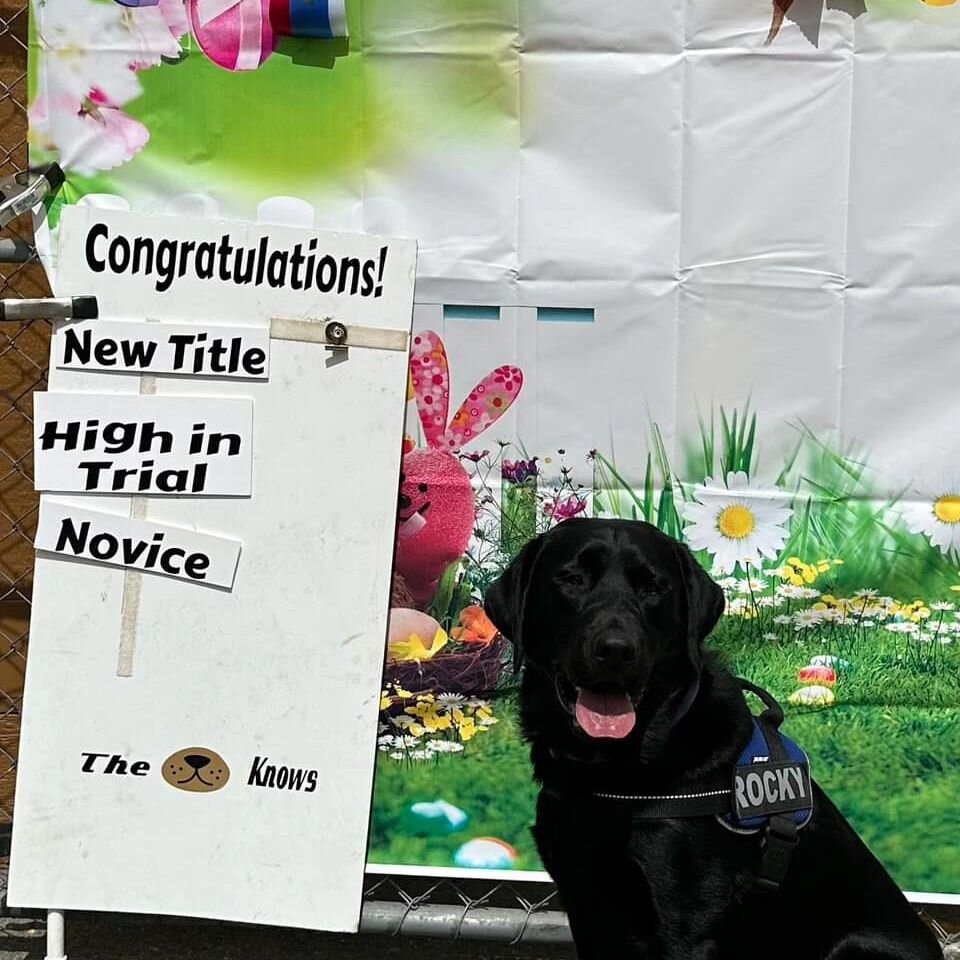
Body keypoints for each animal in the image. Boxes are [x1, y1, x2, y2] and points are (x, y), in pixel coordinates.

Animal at [484, 520, 940, 956]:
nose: (615, 649)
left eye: (653, 588)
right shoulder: (585, 908)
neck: (611, 771)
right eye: (572, 579)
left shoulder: (686, 926)